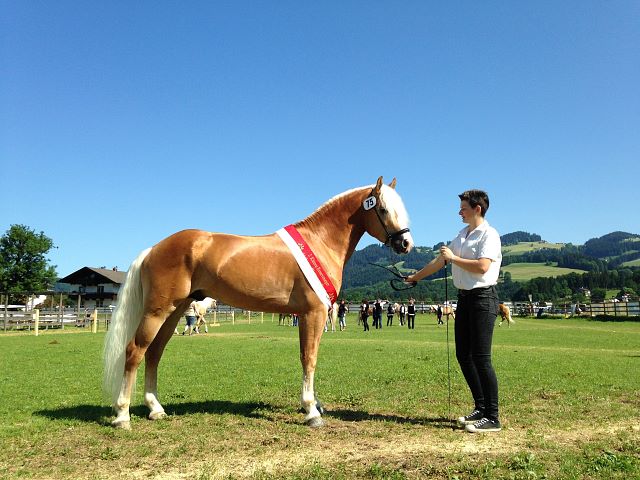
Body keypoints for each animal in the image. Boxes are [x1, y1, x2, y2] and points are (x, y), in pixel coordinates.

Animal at [104, 176, 416, 428]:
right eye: (383, 209)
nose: (405, 244)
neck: (319, 242)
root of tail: (153, 248)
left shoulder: (308, 314)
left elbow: (310, 356)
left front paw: (314, 405)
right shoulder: (313, 313)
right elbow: (309, 358)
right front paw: (311, 411)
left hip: (174, 312)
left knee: (154, 353)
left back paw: (156, 409)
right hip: (157, 311)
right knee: (134, 351)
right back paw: (122, 416)